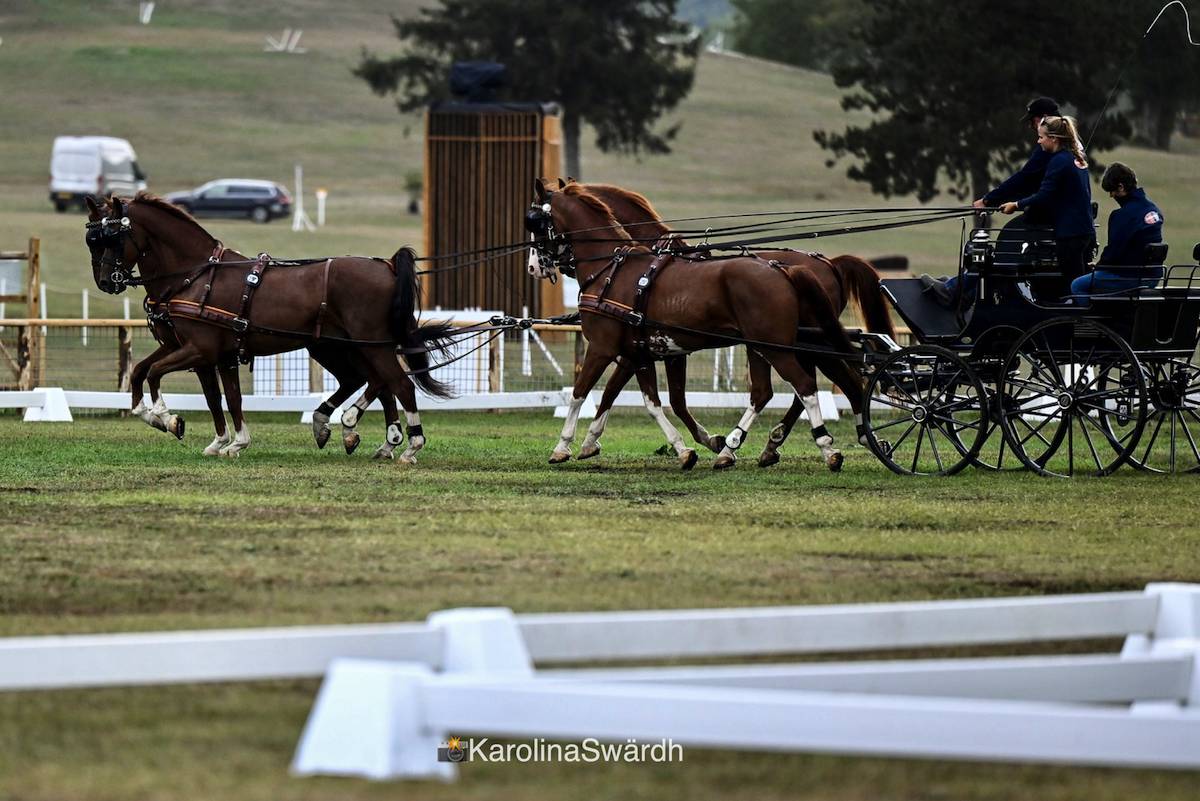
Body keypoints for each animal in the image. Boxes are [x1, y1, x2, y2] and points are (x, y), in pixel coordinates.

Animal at [84, 193, 454, 461]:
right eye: (92, 239)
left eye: (112, 237)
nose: (105, 281)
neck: (196, 275)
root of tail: (387, 265)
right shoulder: (199, 353)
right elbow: (213, 395)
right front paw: (225, 441)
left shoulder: (198, 350)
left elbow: (156, 373)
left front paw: (166, 417)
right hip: (336, 346)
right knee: (371, 381)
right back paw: (358, 432)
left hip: (367, 345)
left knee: (397, 384)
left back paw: (407, 444)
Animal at [525, 179, 861, 470]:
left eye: (534, 222)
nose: (533, 268)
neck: (611, 269)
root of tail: (784, 270)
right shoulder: (642, 353)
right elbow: (652, 401)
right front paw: (684, 449)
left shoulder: (602, 348)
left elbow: (580, 393)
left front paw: (563, 446)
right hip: (773, 346)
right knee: (787, 389)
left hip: (775, 347)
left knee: (804, 387)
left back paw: (823, 447)